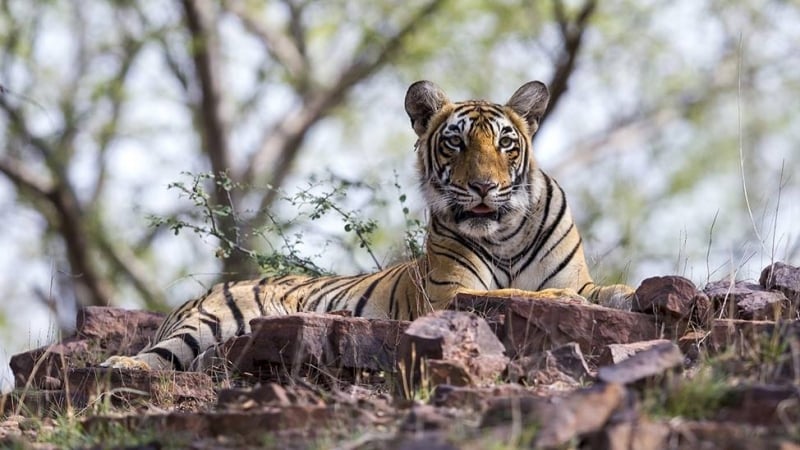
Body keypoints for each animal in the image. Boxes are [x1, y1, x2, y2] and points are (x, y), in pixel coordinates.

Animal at [102, 80, 634, 371]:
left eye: (505, 142)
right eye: (456, 142)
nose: (484, 187)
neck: (504, 234)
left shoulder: (579, 278)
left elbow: (603, 292)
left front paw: (625, 295)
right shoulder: (450, 295)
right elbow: (511, 293)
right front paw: (557, 302)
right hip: (207, 322)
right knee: (157, 357)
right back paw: (118, 364)